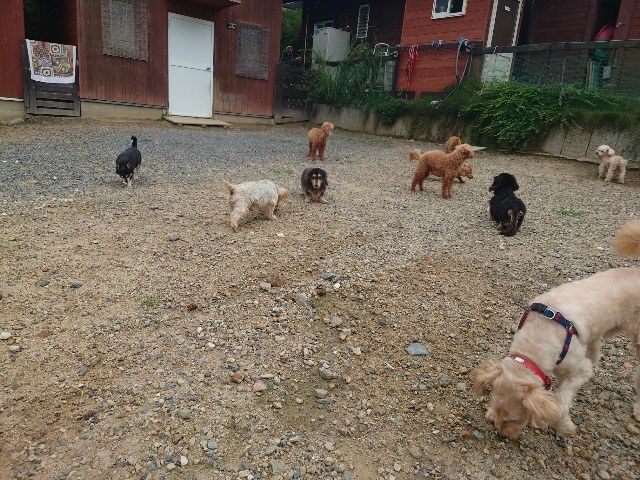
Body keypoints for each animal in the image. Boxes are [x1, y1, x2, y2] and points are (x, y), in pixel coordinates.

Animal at [471, 220, 640, 440]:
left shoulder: (578, 370)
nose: (502, 435)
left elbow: (560, 401)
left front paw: (564, 426)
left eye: (514, 420)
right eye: (496, 410)